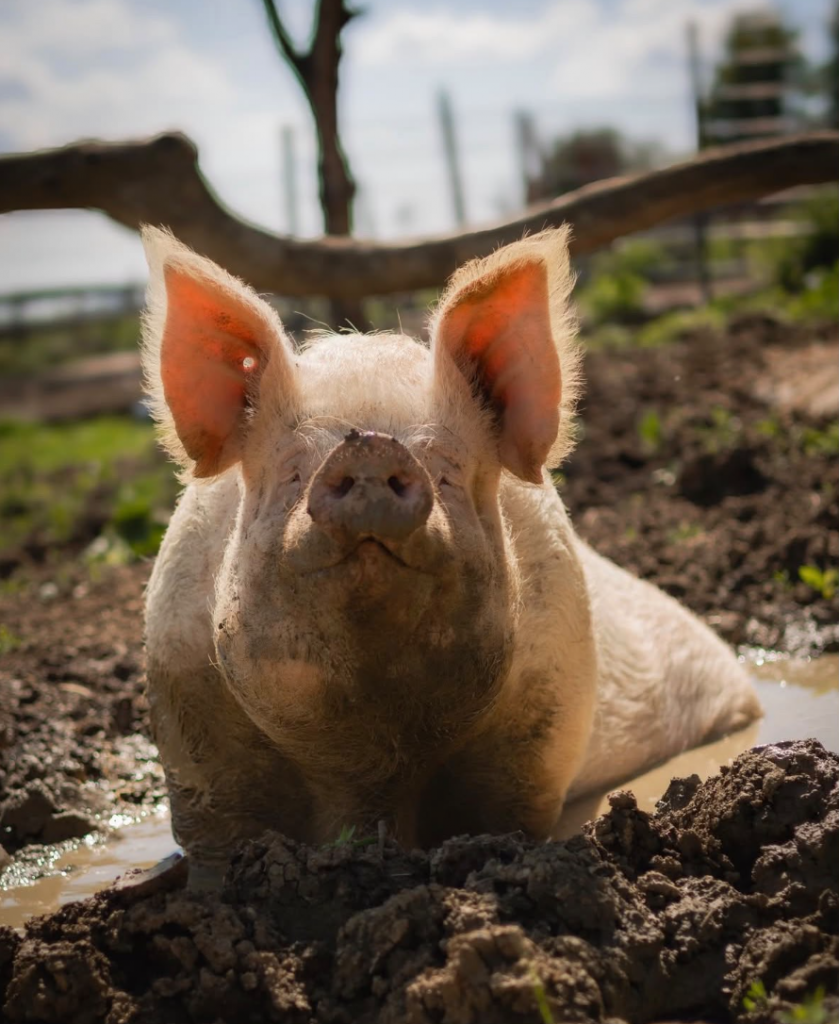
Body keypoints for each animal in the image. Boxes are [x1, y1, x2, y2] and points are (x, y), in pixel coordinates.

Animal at [142, 226, 760, 881]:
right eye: (290, 473)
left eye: (446, 470)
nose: (368, 446)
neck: (372, 772)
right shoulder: (194, 756)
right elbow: (215, 850)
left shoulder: (536, 740)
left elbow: (502, 818)